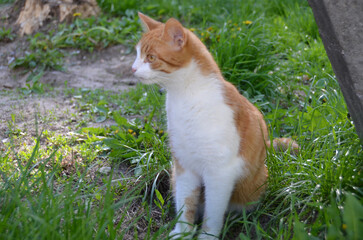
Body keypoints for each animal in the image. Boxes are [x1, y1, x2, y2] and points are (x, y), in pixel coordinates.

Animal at [132, 13, 298, 240]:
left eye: (150, 58)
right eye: (137, 54)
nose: (132, 69)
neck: (185, 97)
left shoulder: (219, 172)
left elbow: (213, 211)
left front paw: (206, 236)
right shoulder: (184, 166)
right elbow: (186, 203)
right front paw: (183, 232)